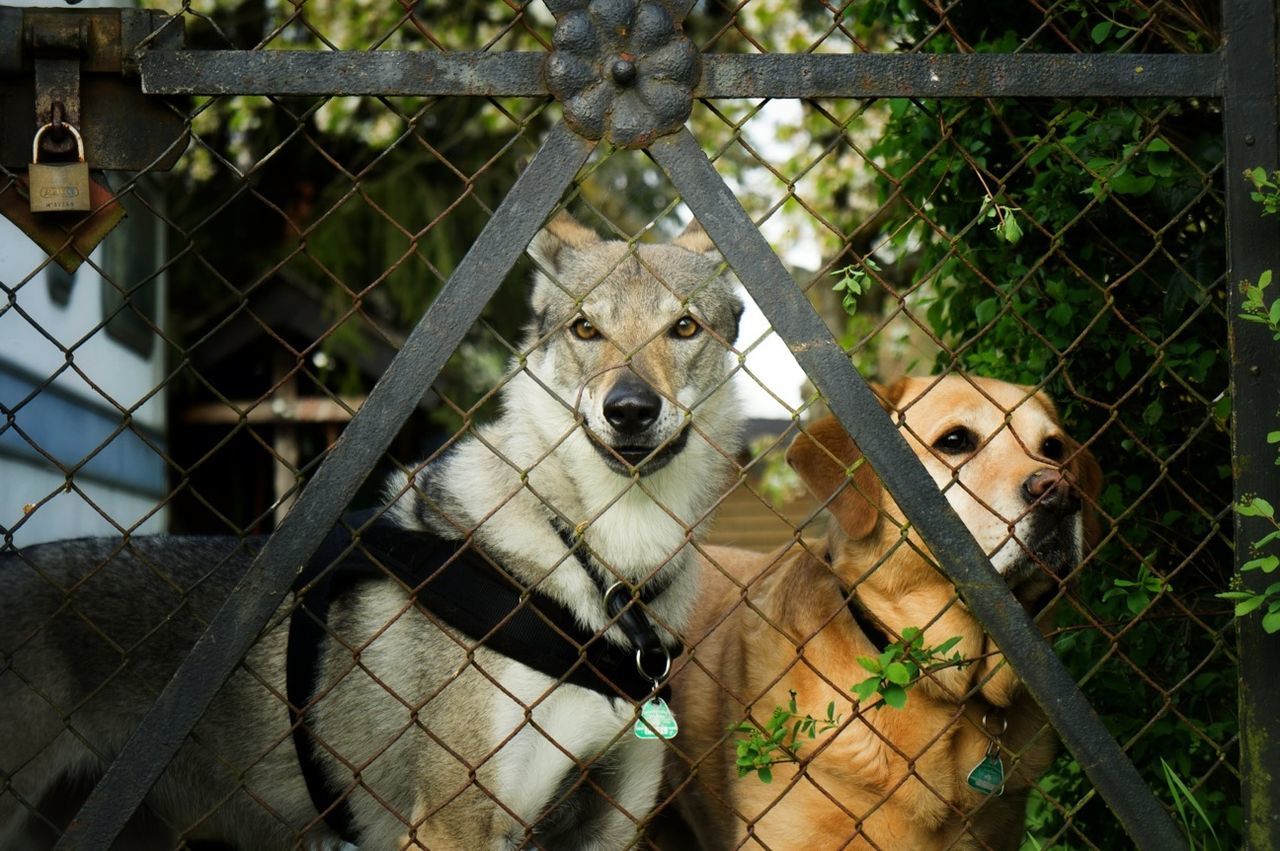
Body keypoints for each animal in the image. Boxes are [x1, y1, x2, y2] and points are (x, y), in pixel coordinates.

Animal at [0, 213, 747, 849]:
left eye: (684, 327)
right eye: (586, 329)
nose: (629, 409)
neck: (609, 570)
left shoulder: (609, 821)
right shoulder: (457, 819)